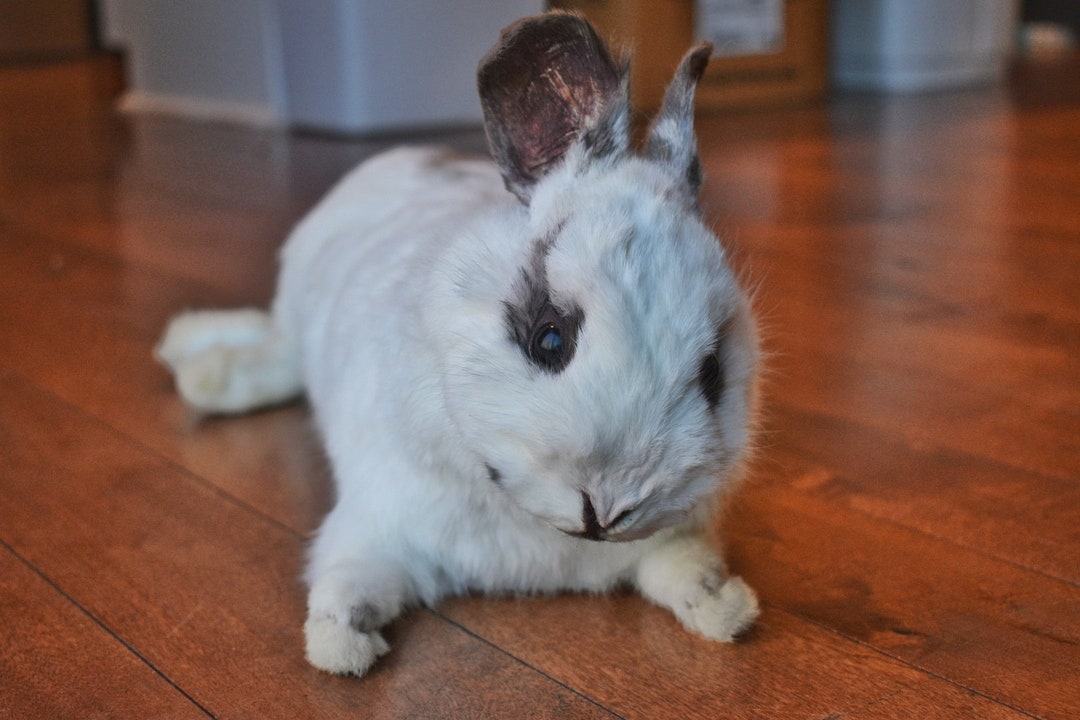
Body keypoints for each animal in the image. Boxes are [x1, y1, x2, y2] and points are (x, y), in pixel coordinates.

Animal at [156, 11, 760, 677]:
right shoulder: (373, 523)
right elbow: (349, 580)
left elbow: (682, 566)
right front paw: (340, 648)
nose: (605, 508)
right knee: (276, 352)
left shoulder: (669, 541)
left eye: (713, 373)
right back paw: (195, 364)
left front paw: (728, 609)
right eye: (549, 338)